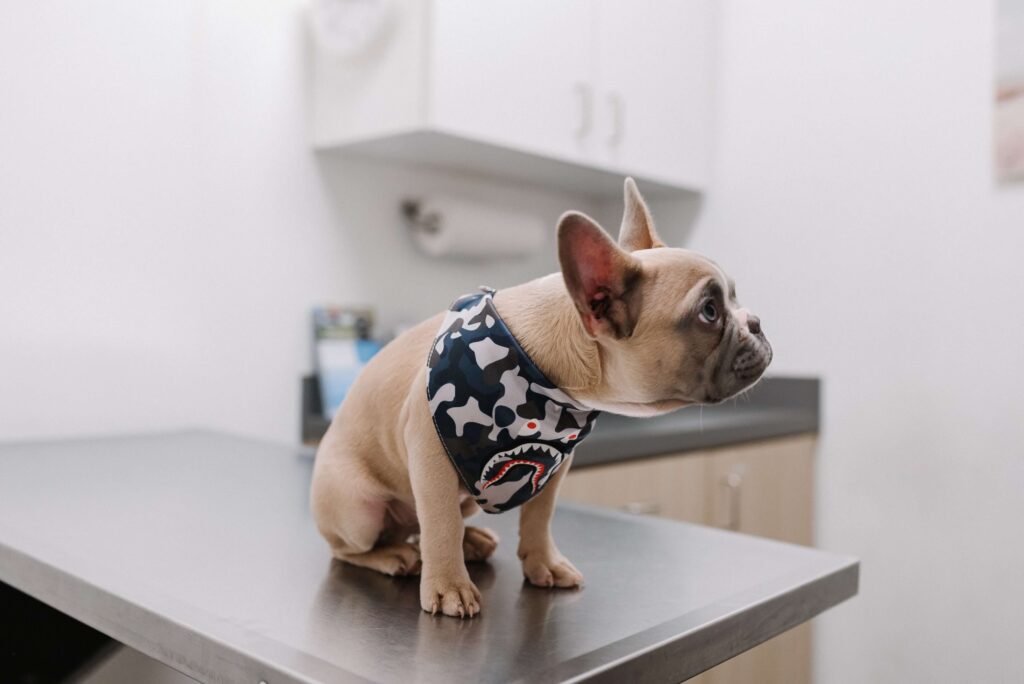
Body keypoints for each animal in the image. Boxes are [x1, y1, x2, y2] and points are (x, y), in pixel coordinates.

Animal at [307, 179, 770, 618]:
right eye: (709, 312)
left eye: (733, 299)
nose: (756, 321)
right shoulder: (430, 456)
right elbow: (440, 523)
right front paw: (448, 586)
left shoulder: (553, 464)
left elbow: (538, 516)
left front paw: (542, 563)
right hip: (358, 510)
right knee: (355, 546)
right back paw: (395, 555)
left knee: (427, 524)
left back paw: (469, 540)